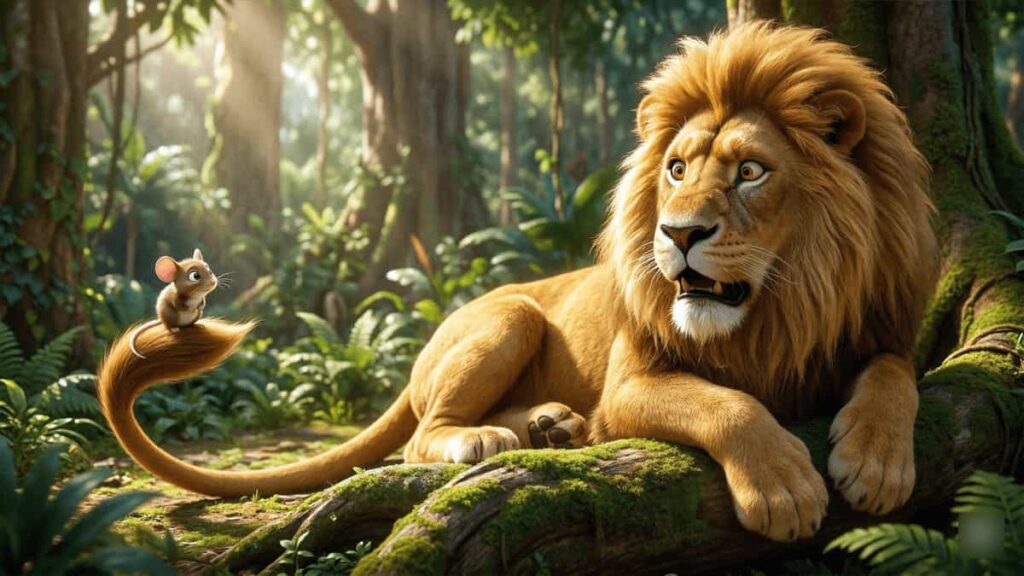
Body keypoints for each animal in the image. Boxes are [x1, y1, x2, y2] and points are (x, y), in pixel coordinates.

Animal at [99, 22, 937, 542]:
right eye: (675, 169)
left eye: (752, 172)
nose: (677, 234)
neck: (782, 307)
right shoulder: (632, 383)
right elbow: (727, 405)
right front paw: (786, 490)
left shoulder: (871, 329)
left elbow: (894, 373)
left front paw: (875, 463)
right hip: (512, 317)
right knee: (421, 438)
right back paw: (492, 436)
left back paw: (553, 427)